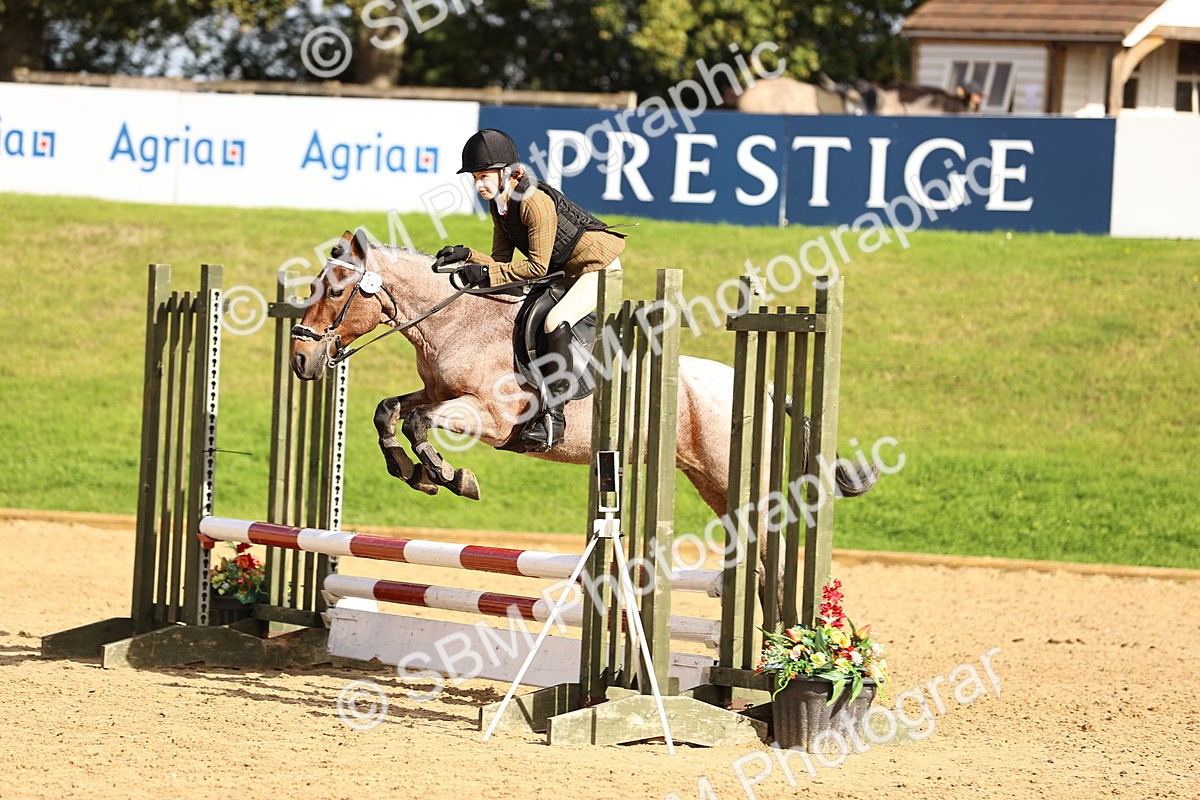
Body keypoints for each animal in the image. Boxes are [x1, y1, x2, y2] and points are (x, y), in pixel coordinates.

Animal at [289, 230, 879, 611]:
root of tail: (759, 387)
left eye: (336, 291)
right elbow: (389, 412)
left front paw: (452, 477)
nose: (301, 360)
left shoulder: (491, 417)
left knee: (770, 552)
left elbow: (418, 425)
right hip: (707, 479)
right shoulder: (438, 393)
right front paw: (414, 473)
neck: (456, 321)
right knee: (757, 560)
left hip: (730, 474)